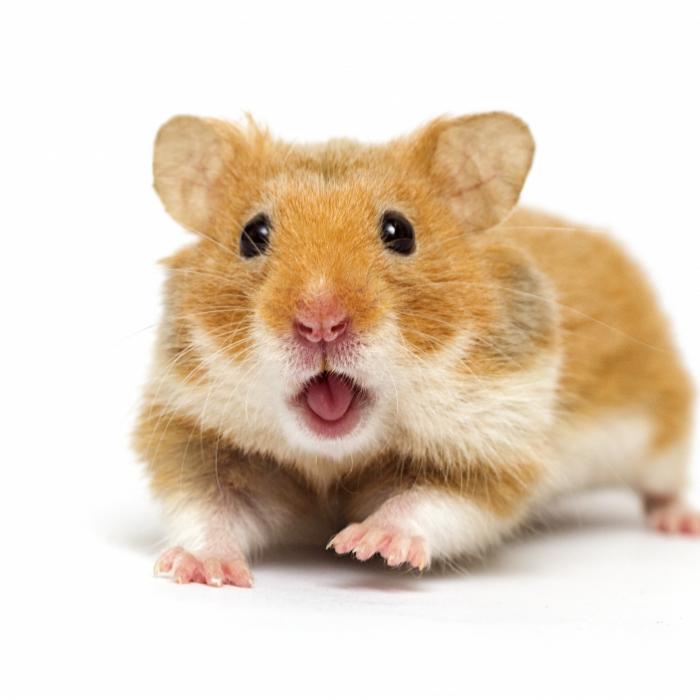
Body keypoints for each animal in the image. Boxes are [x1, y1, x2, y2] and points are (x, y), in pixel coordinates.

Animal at [134, 112, 698, 587]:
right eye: (252, 234)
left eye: (398, 231)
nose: (320, 322)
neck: (335, 456)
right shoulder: (197, 435)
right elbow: (210, 508)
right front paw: (201, 569)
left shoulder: (492, 450)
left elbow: (429, 501)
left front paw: (367, 544)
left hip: (660, 431)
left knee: (663, 482)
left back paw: (679, 522)